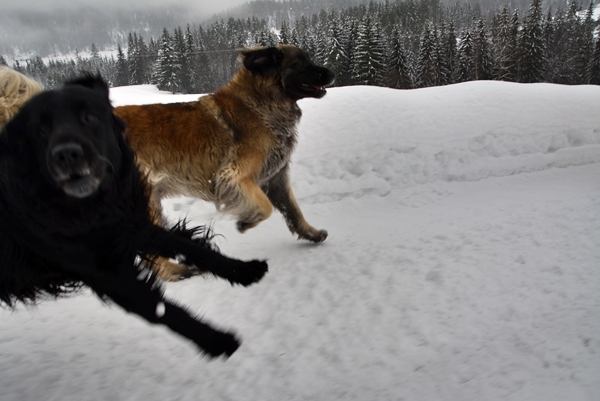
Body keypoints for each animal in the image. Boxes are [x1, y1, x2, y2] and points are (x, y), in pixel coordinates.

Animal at [0, 75, 268, 356]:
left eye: (89, 118)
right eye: (40, 131)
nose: (66, 155)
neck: (86, 207)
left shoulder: (129, 227)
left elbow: (190, 246)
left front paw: (244, 270)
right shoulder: (104, 272)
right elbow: (163, 310)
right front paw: (217, 340)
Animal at [115, 45, 336, 280]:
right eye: (301, 63)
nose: (332, 73)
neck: (260, 103)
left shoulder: (276, 178)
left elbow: (294, 210)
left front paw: (312, 233)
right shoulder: (233, 175)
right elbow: (265, 207)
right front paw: (246, 221)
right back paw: (175, 271)